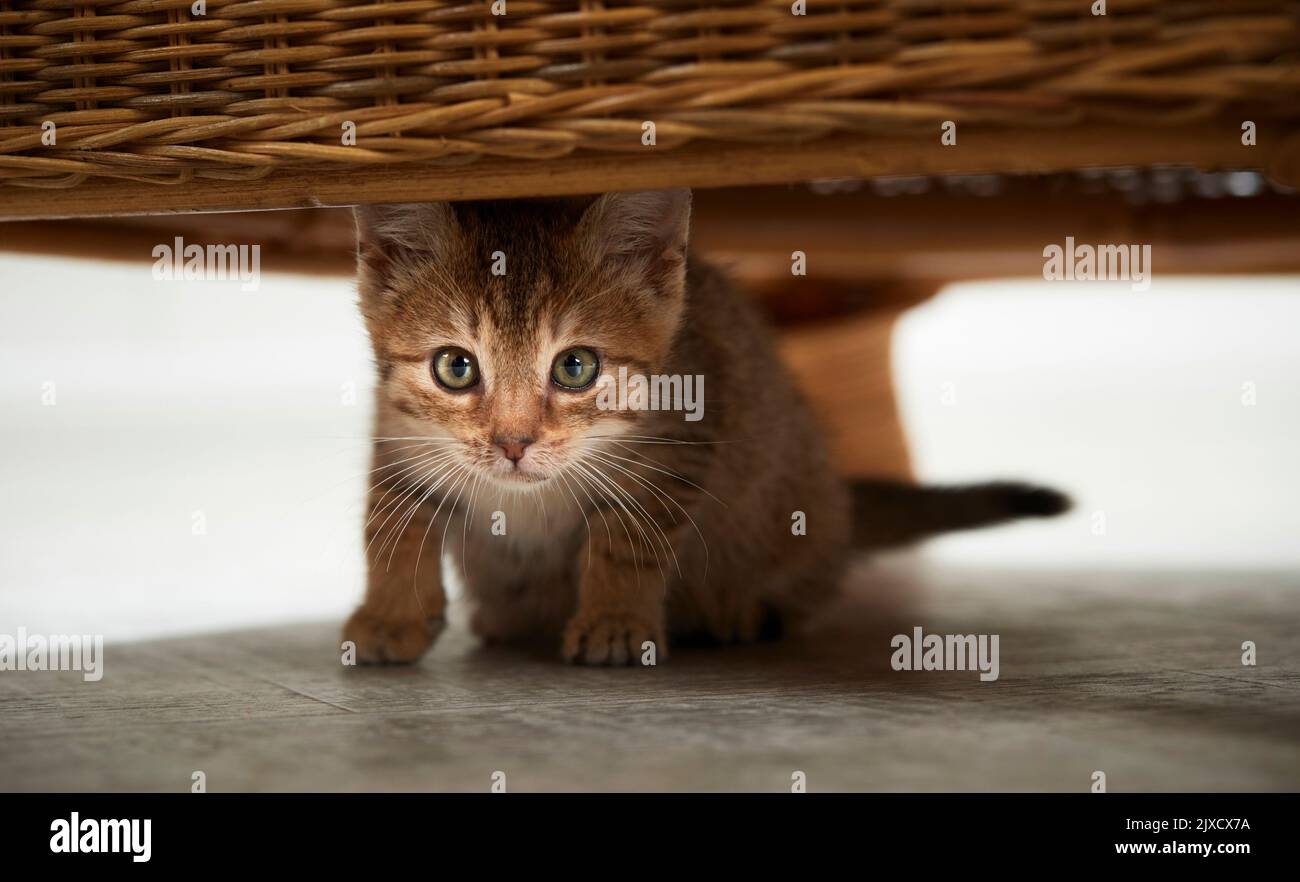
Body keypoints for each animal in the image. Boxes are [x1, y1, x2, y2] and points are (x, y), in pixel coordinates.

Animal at [343, 189, 1066, 666]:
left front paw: (614, 619)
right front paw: (389, 615)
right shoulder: (398, 439)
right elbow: (391, 526)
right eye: (455, 367)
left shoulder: (678, 446)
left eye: (575, 366)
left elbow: (625, 542)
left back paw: (743, 610)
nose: (513, 443)